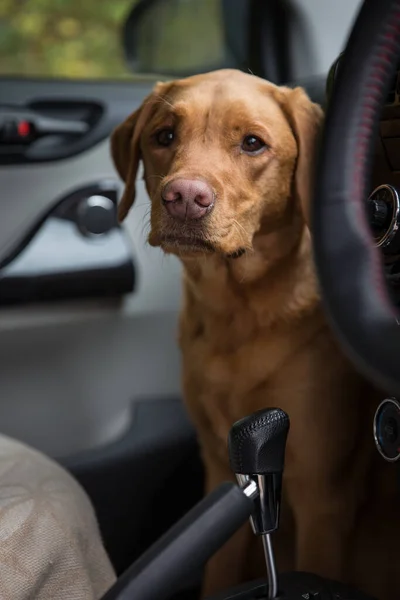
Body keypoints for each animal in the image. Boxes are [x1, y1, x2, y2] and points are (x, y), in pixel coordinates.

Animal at [111, 68, 400, 596]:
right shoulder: (221, 470)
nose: (184, 198)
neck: (234, 312)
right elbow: (218, 567)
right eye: (163, 137)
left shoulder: (322, 496)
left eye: (252, 143)